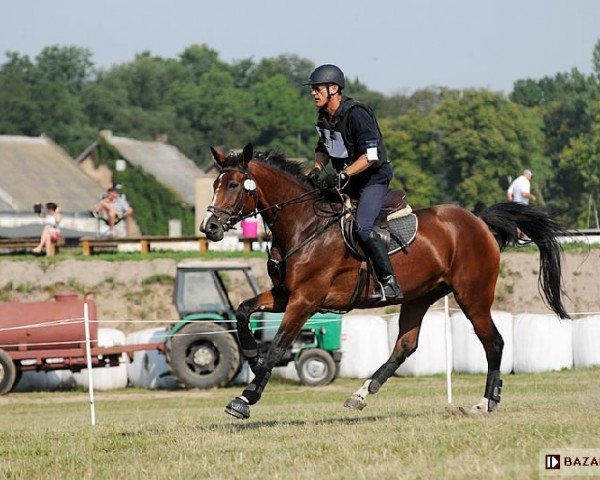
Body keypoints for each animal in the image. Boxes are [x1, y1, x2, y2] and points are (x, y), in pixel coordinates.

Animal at [200, 143, 568, 420]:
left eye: (233, 185)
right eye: (215, 185)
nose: (209, 228)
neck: (303, 225)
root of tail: (478, 221)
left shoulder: (305, 300)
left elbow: (278, 346)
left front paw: (245, 398)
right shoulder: (284, 294)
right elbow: (243, 309)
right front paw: (250, 352)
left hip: (472, 296)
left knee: (493, 342)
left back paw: (486, 401)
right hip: (419, 297)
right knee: (405, 346)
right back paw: (361, 393)